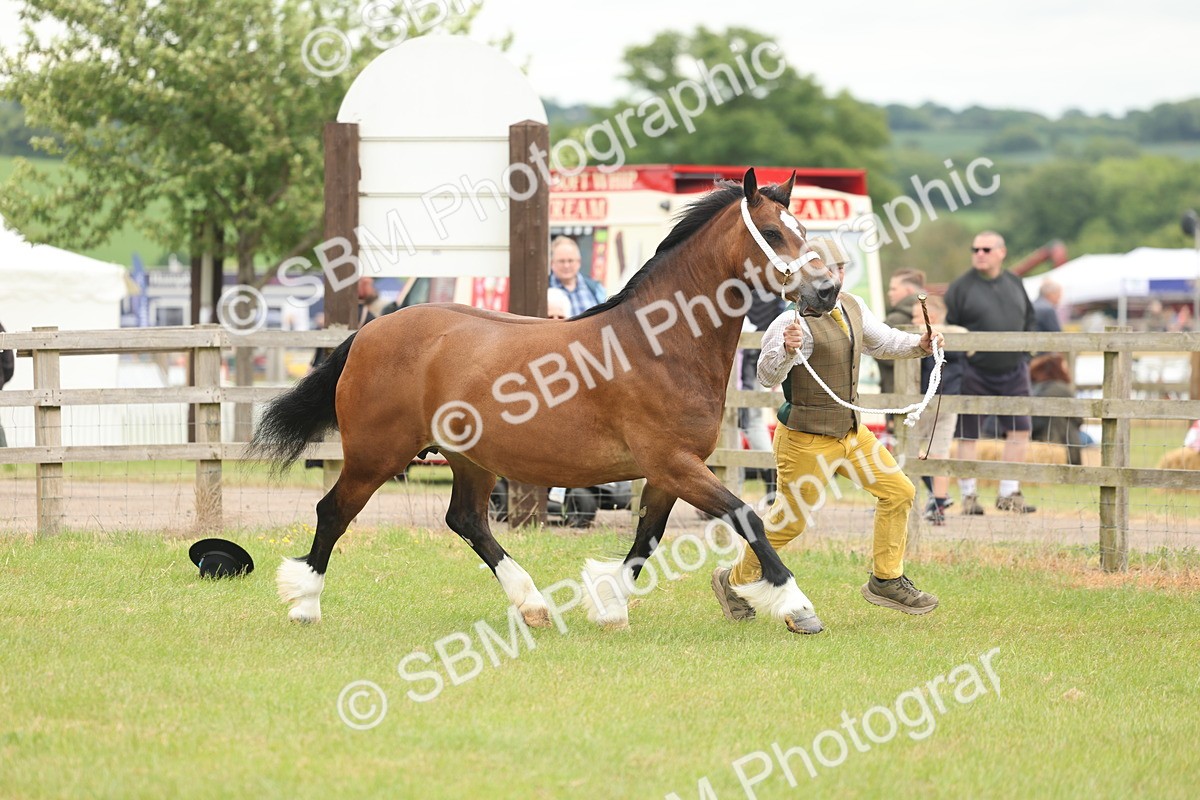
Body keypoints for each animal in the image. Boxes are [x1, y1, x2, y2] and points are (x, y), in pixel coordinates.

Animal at [249, 168, 840, 634]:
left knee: (467, 520)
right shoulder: (675, 464)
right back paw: (305, 604)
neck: (659, 343)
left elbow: (645, 540)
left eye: (803, 231)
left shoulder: (667, 472)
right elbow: (748, 517)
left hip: (470, 459)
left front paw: (610, 607)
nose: (827, 291)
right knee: (334, 511)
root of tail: (371, 330)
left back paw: (532, 604)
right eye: (772, 233)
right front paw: (798, 607)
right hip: (377, 454)